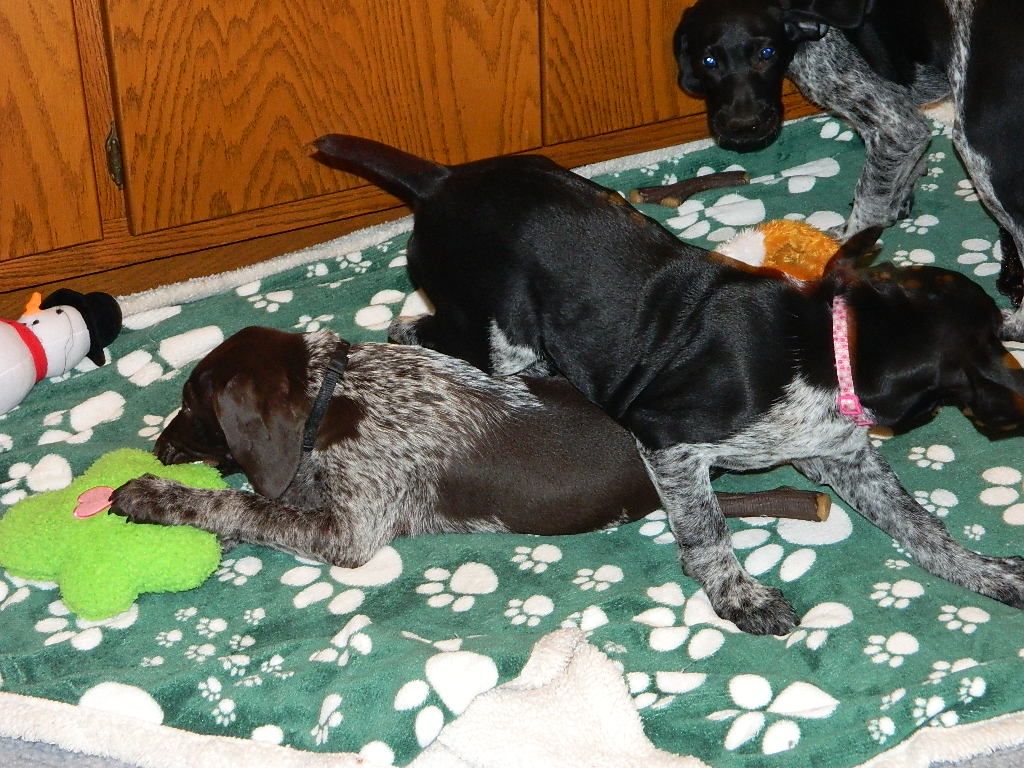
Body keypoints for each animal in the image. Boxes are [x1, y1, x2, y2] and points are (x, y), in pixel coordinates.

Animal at [110, 326, 804, 564]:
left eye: (191, 406)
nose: (160, 446)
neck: (334, 392)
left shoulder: (348, 532)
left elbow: (249, 505)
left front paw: (152, 496)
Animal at [310, 133, 1024, 635]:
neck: (832, 350)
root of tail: (442, 179)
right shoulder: (669, 441)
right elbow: (707, 529)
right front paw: (738, 594)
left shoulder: (842, 456)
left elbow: (921, 525)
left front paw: (981, 571)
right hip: (499, 334)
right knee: (409, 327)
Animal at [672, 0, 1024, 338]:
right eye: (708, 61)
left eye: (766, 53)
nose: (744, 127)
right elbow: (897, 171)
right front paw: (901, 199)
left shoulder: (894, 122)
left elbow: (869, 199)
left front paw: (843, 248)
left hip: (978, 139)